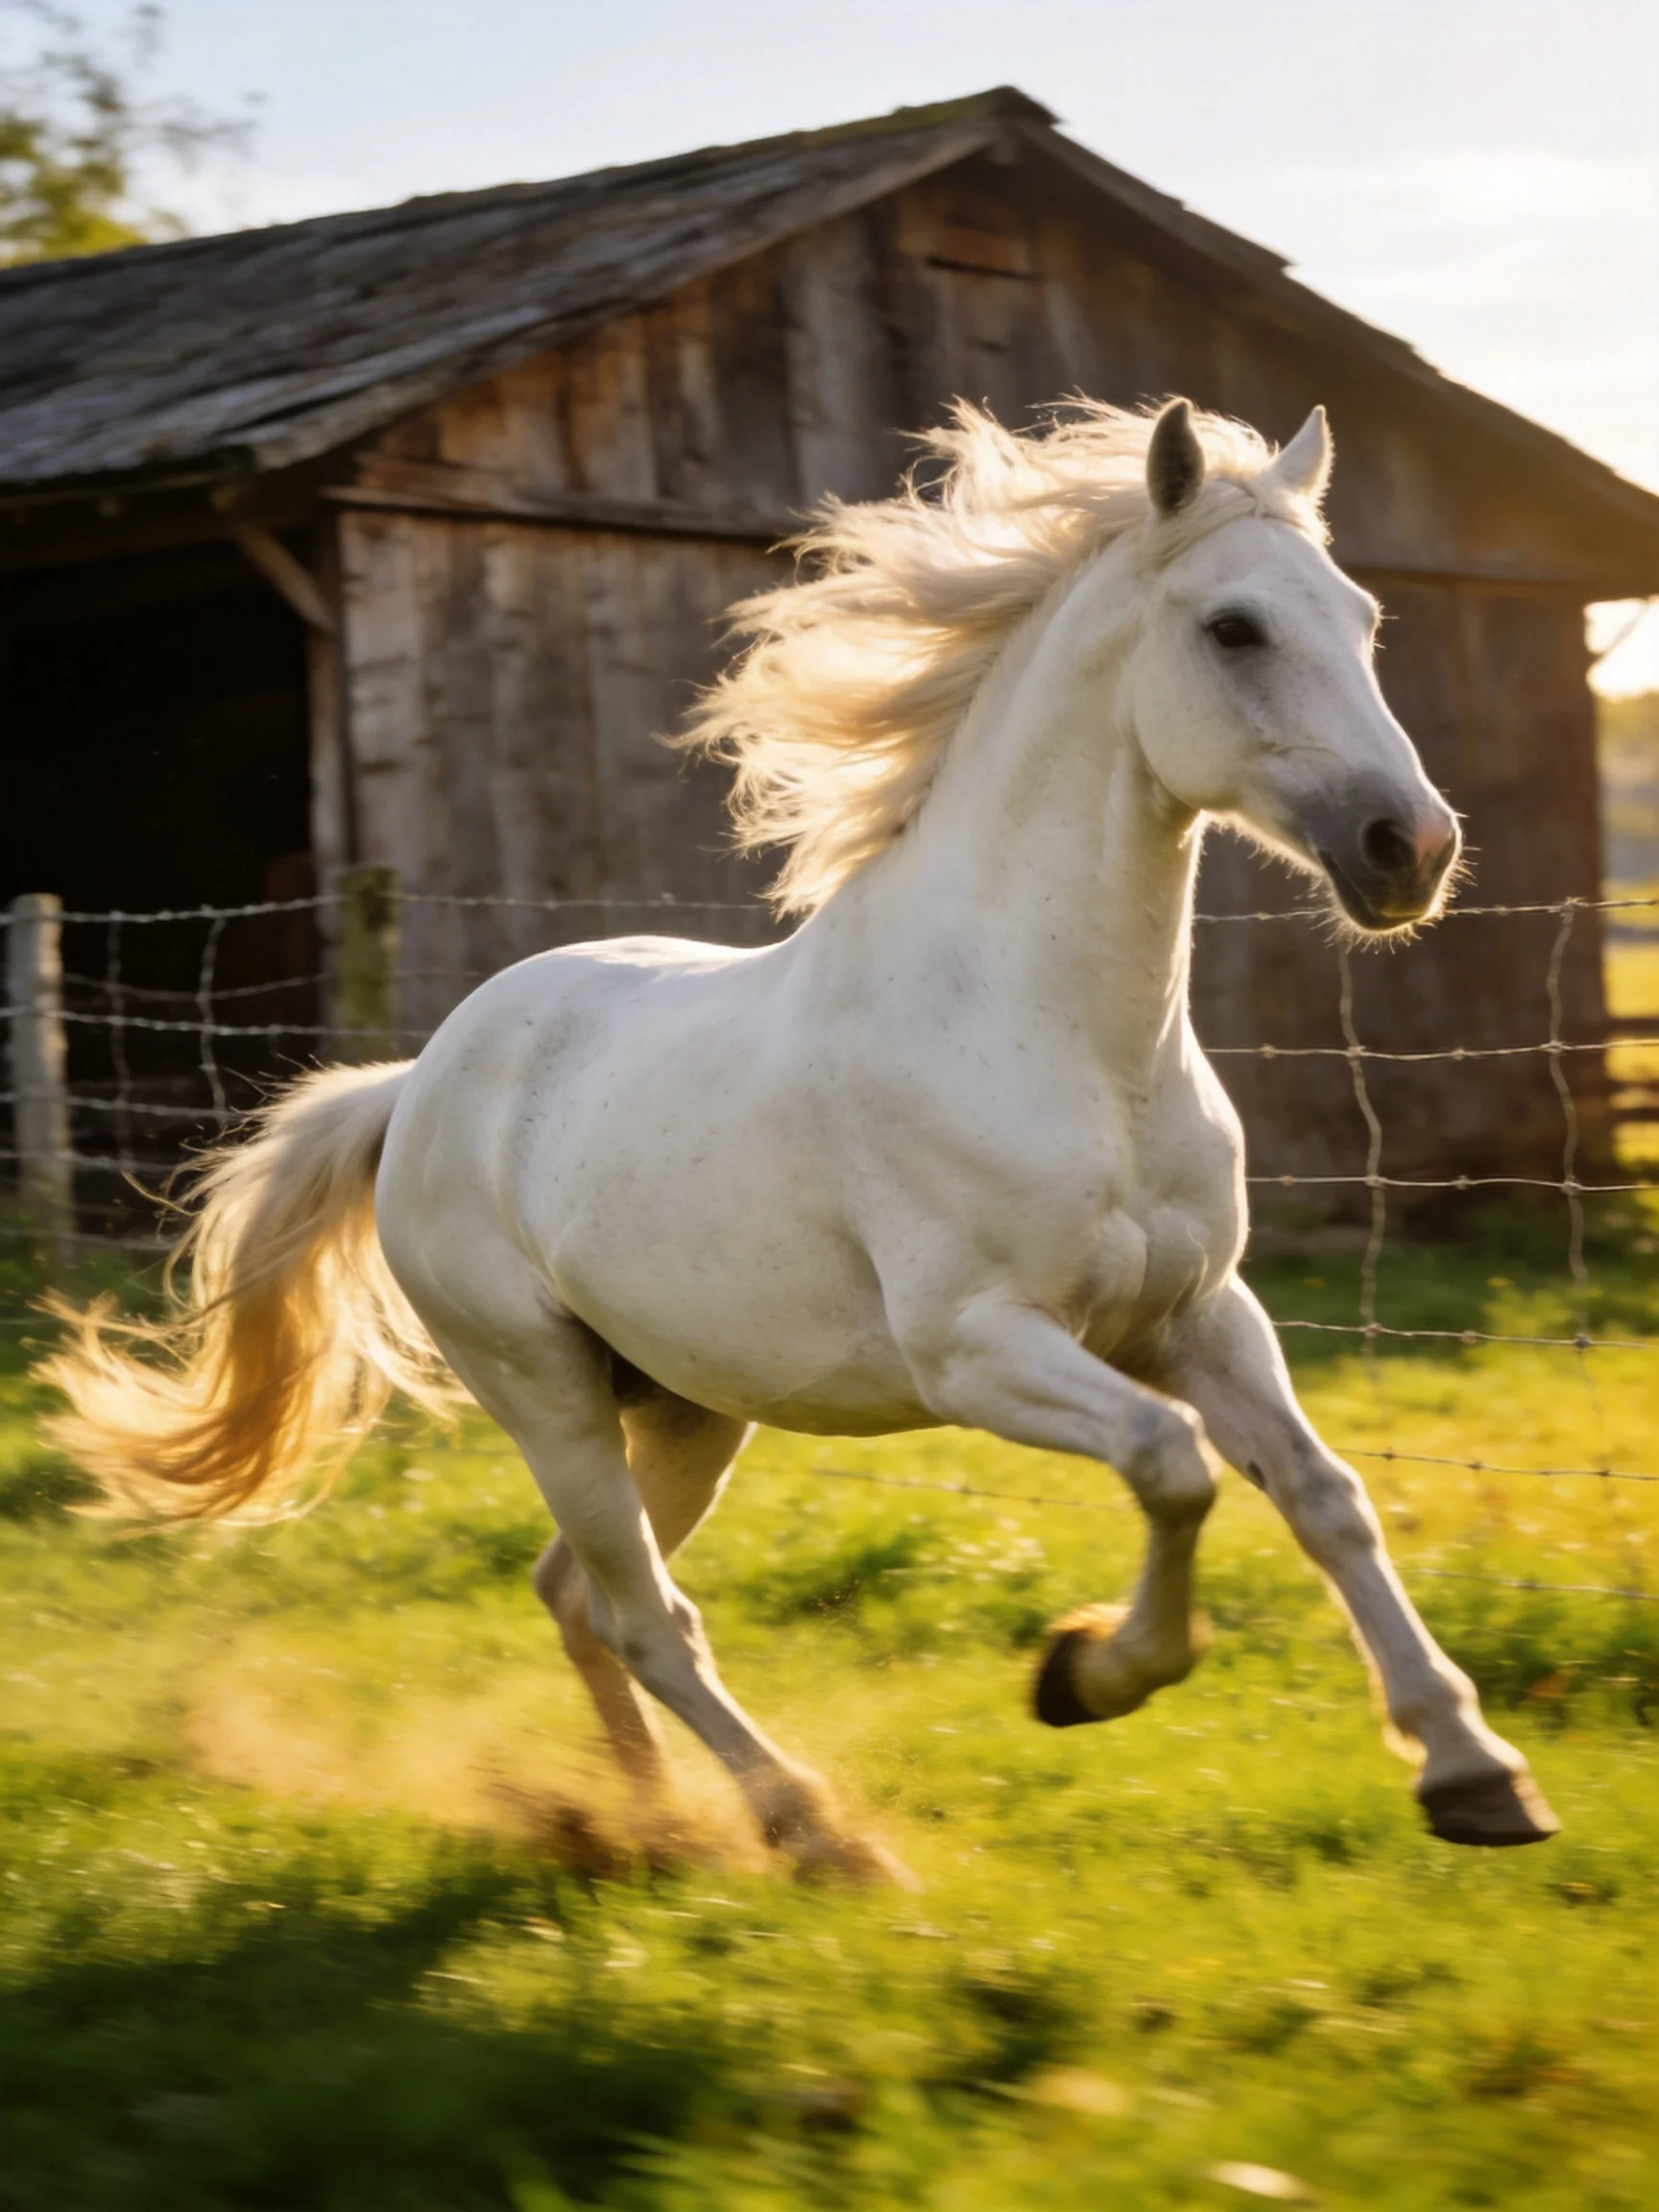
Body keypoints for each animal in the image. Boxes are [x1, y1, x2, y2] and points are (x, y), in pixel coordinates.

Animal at [46, 396, 1558, 1879]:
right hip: (542, 1390)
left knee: (581, 1596)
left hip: (685, 1401)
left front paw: (1476, 1775)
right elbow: (1172, 1466)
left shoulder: (1199, 1315)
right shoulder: (979, 1349)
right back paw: (813, 1836)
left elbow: (1324, 1493)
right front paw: (1085, 1676)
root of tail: (417, 1085)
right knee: (642, 1612)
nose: (1410, 848)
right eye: (1233, 627)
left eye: (1362, 617)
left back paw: (649, 1831)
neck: (1072, 1047)